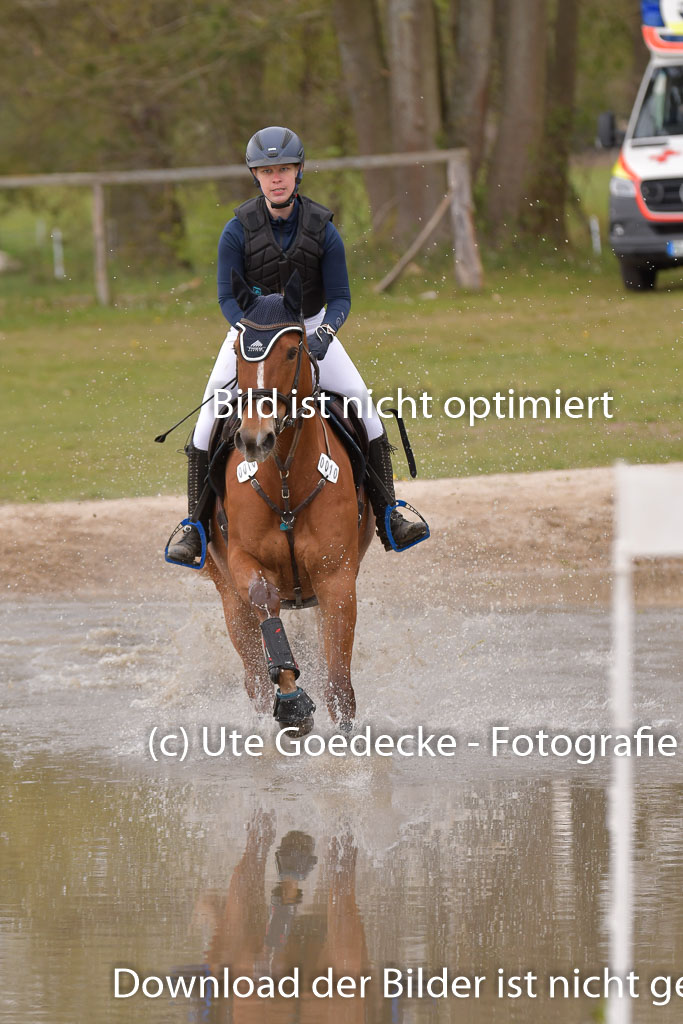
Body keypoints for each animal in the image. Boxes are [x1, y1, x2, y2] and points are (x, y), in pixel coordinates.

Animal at [205, 274, 374, 729]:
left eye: (294, 350)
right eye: (238, 352)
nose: (254, 438)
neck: (284, 480)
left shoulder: (337, 578)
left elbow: (340, 689)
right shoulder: (244, 563)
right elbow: (266, 601)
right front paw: (293, 700)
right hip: (227, 593)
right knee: (254, 681)